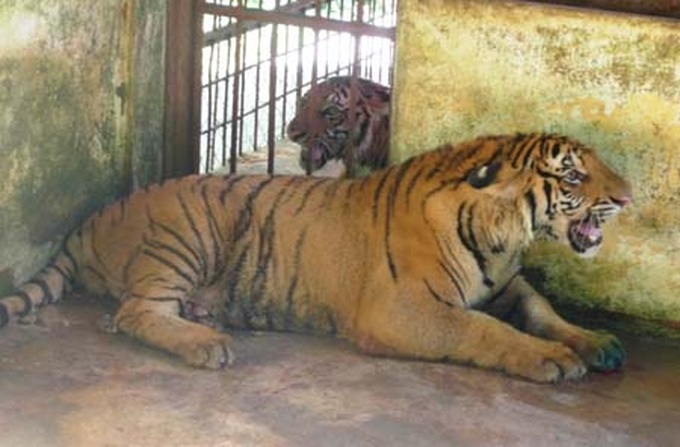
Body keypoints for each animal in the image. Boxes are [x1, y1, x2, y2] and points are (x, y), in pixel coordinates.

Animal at [0, 133, 632, 383]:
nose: (628, 197)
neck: (502, 238)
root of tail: (91, 219)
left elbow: (540, 307)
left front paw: (596, 342)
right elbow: (483, 330)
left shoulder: (506, 285)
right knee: (133, 313)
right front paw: (551, 359)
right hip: (188, 233)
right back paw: (206, 344)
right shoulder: (402, 310)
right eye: (574, 175)